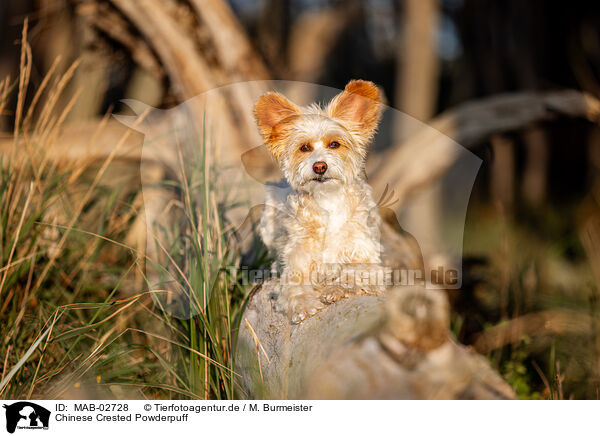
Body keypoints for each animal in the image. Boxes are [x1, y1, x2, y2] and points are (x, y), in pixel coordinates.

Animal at [253, 80, 384, 322]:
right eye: (304, 148)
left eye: (334, 144)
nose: (319, 166)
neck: (328, 200)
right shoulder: (296, 264)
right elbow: (294, 289)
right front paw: (305, 305)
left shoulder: (368, 260)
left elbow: (354, 274)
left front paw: (336, 289)